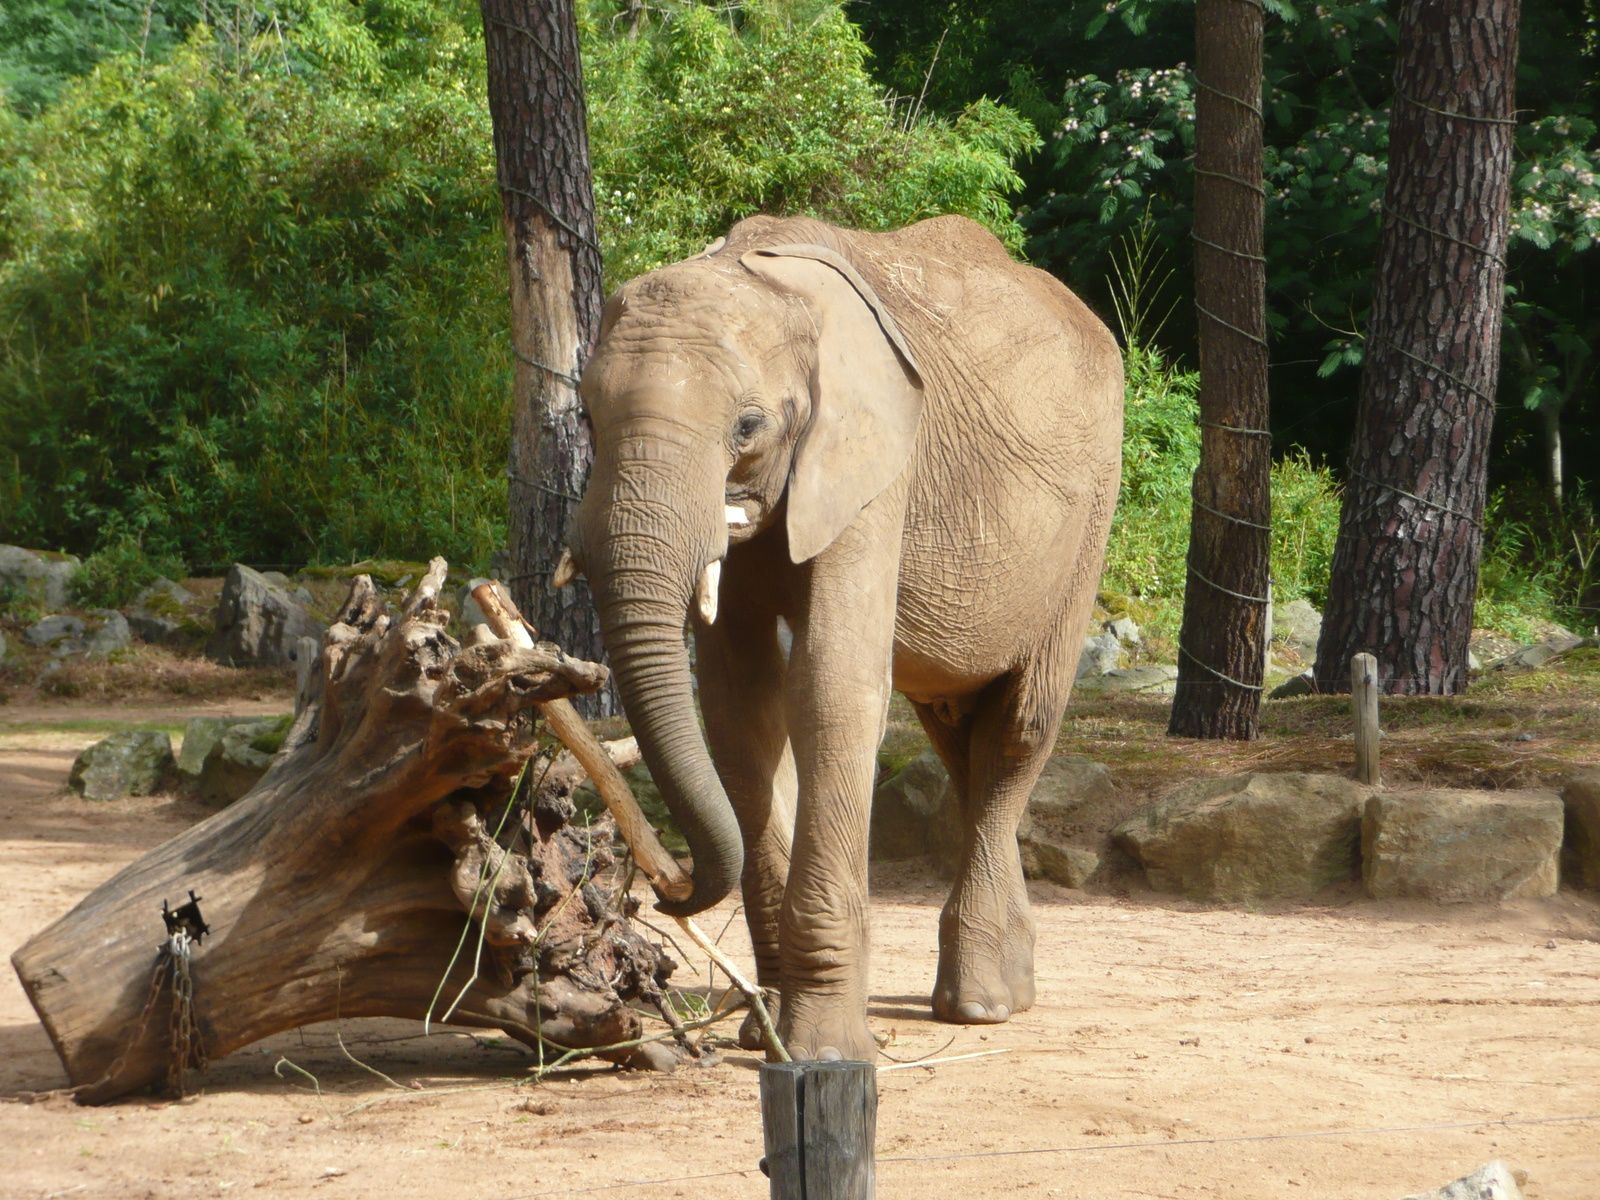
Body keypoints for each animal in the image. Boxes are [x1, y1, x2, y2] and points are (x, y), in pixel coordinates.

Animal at [564, 214, 1123, 1062]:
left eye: (748, 426)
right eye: (588, 419)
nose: (663, 888)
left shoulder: (875, 466)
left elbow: (831, 686)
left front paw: (823, 1051)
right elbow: (740, 709)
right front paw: (767, 1034)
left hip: (1088, 521)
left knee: (1018, 728)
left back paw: (981, 1007)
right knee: (958, 732)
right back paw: (1007, 988)